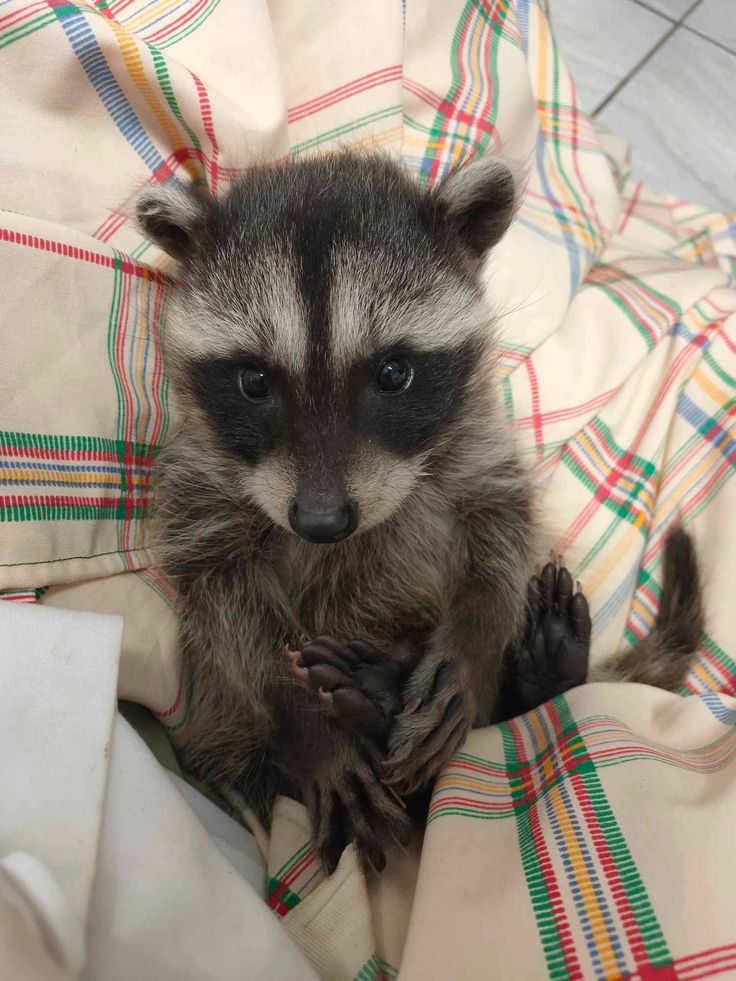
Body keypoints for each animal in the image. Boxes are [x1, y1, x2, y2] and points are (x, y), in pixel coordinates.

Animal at [136, 152, 703, 873]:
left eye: (393, 372)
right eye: (255, 381)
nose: (322, 521)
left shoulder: (475, 437)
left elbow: (500, 519)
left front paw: (476, 633)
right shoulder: (201, 484)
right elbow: (219, 598)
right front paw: (301, 713)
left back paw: (533, 672)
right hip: (230, 738)